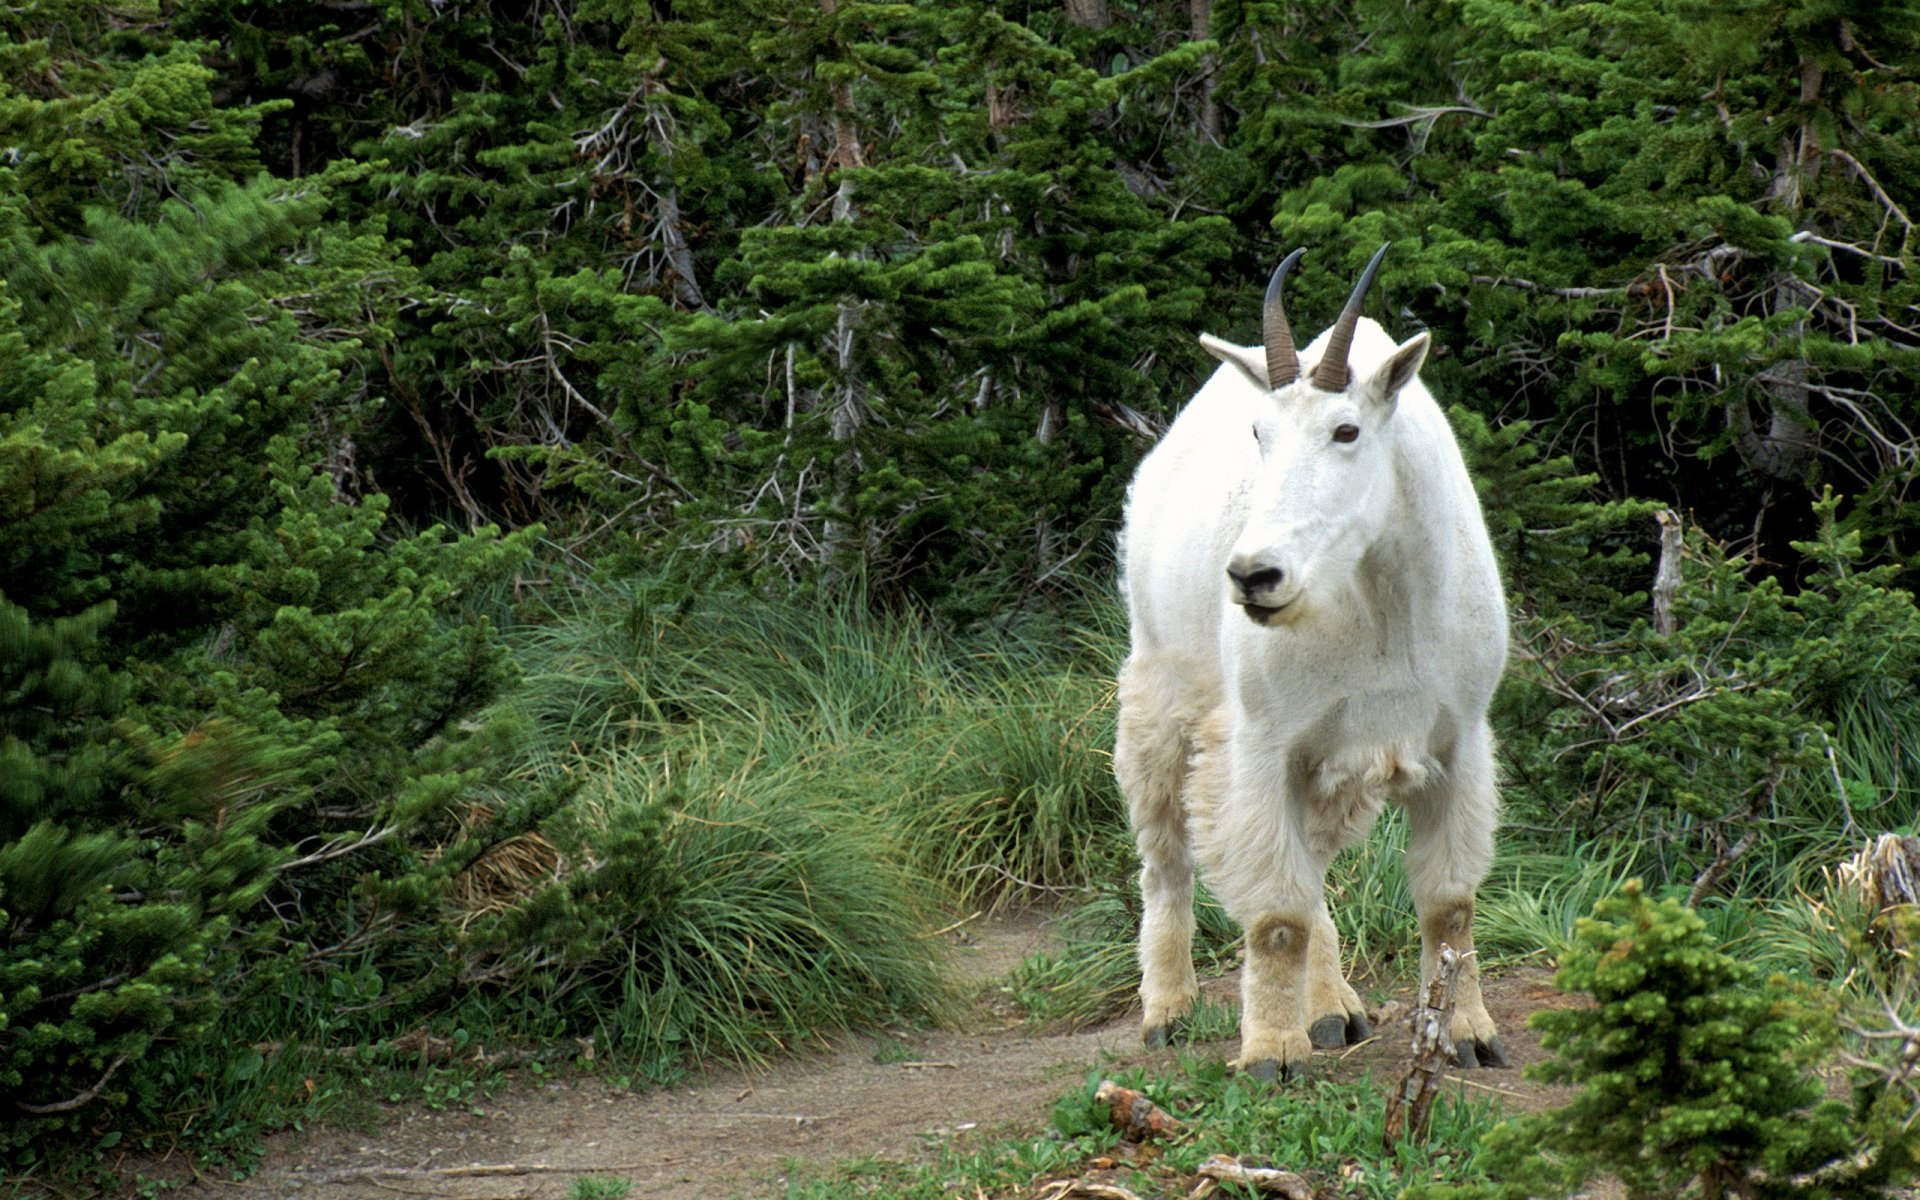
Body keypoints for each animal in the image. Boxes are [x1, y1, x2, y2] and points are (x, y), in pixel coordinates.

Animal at [1114, 245, 1508, 1082]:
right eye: (1259, 432)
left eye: (1347, 429)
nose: (1253, 576)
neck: (1381, 601)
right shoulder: (1263, 743)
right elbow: (1276, 916)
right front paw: (1271, 1052)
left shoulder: (1456, 740)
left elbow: (1449, 905)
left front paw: (1467, 1033)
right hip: (1161, 686)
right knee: (1165, 852)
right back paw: (1168, 1008)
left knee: (1316, 863)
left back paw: (1331, 1006)